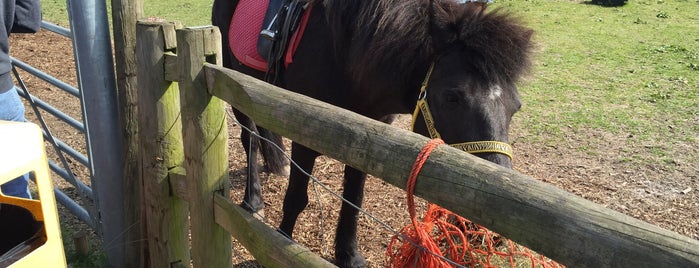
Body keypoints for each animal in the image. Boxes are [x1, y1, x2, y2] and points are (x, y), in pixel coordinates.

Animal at [211, 1, 532, 266]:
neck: (345, 52)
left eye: (515, 106)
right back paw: (253, 200)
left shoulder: (367, 135)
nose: (490, 231)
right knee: (250, 139)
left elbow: (354, 199)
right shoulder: (304, 128)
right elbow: (296, 198)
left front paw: (348, 256)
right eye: (453, 97)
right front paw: (280, 243)